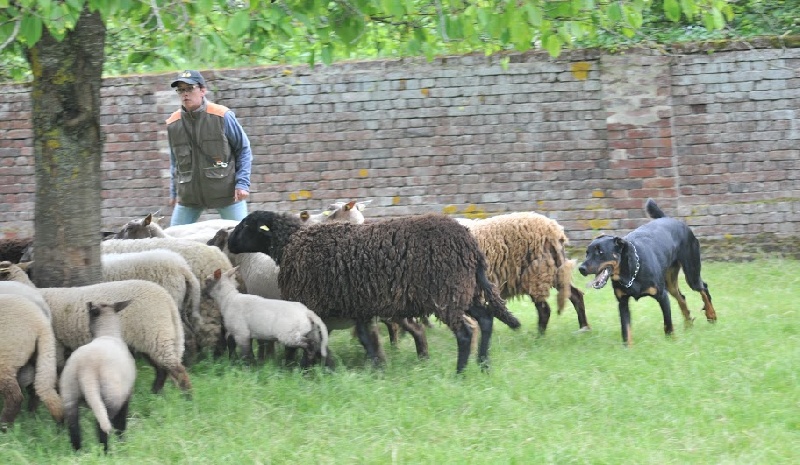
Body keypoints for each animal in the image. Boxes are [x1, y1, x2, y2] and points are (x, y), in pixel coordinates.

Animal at [0, 296, 62, 430]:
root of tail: (41, 323)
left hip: (5, 358)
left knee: (15, 398)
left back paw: (5, 427)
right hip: (41, 355)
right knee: (47, 386)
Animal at [59, 300, 135, 452]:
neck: (108, 333)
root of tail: (86, 368)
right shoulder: (126, 396)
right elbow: (121, 423)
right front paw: (122, 442)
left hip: (69, 394)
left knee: (74, 428)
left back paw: (78, 453)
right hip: (111, 395)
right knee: (102, 426)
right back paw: (106, 452)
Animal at [228, 210, 520, 374]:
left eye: (244, 226)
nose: (229, 243)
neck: (291, 243)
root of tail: (469, 242)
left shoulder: (315, 303)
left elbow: (311, 341)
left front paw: (301, 369)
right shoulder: (356, 304)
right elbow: (366, 340)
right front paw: (376, 368)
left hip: (447, 292)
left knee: (466, 331)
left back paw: (460, 372)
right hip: (464, 291)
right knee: (486, 320)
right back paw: (483, 365)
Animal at [460, 212, 592, 336]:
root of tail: (555, 231)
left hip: (537, 273)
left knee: (545, 310)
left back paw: (538, 337)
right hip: (554, 270)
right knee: (575, 295)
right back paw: (583, 328)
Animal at [580, 199, 716, 344]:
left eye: (600, 252)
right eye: (587, 253)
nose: (581, 268)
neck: (631, 273)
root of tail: (671, 219)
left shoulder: (662, 296)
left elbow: (668, 324)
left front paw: (671, 342)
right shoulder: (622, 302)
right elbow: (626, 329)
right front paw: (628, 347)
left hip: (691, 272)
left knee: (703, 288)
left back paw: (711, 315)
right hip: (670, 282)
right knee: (682, 297)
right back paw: (689, 324)